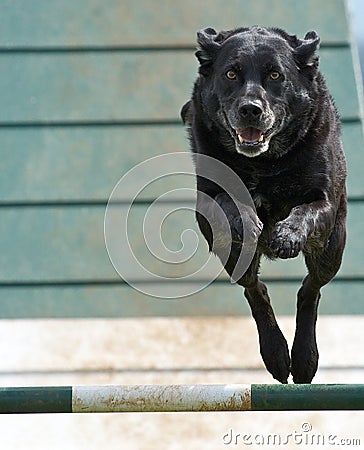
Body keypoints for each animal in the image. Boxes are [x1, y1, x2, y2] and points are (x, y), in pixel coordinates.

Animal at [182, 25, 346, 384]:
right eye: (231, 73)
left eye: (275, 75)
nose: (250, 109)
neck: (264, 163)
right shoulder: (207, 203)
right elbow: (227, 201)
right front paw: (248, 221)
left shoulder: (324, 201)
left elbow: (305, 211)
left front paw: (286, 235)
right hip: (229, 251)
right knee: (254, 290)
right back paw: (276, 355)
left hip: (332, 246)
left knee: (310, 289)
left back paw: (303, 359)